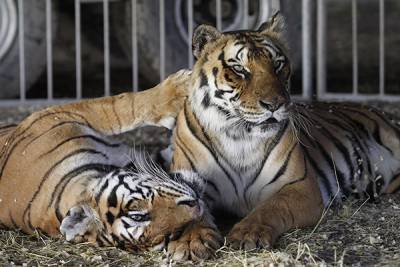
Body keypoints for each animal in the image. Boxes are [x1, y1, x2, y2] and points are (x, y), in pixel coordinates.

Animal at [0, 69, 222, 253]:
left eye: (137, 215)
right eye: (169, 235)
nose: (195, 205)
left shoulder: (61, 115)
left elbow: (121, 104)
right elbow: (122, 107)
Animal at [165, 11, 400, 260]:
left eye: (277, 65)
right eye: (239, 69)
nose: (274, 104)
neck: (239, 136)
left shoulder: (298, 187)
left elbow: (271, 208)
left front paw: (248, 234)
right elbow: (191, 211)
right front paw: (190, 241)